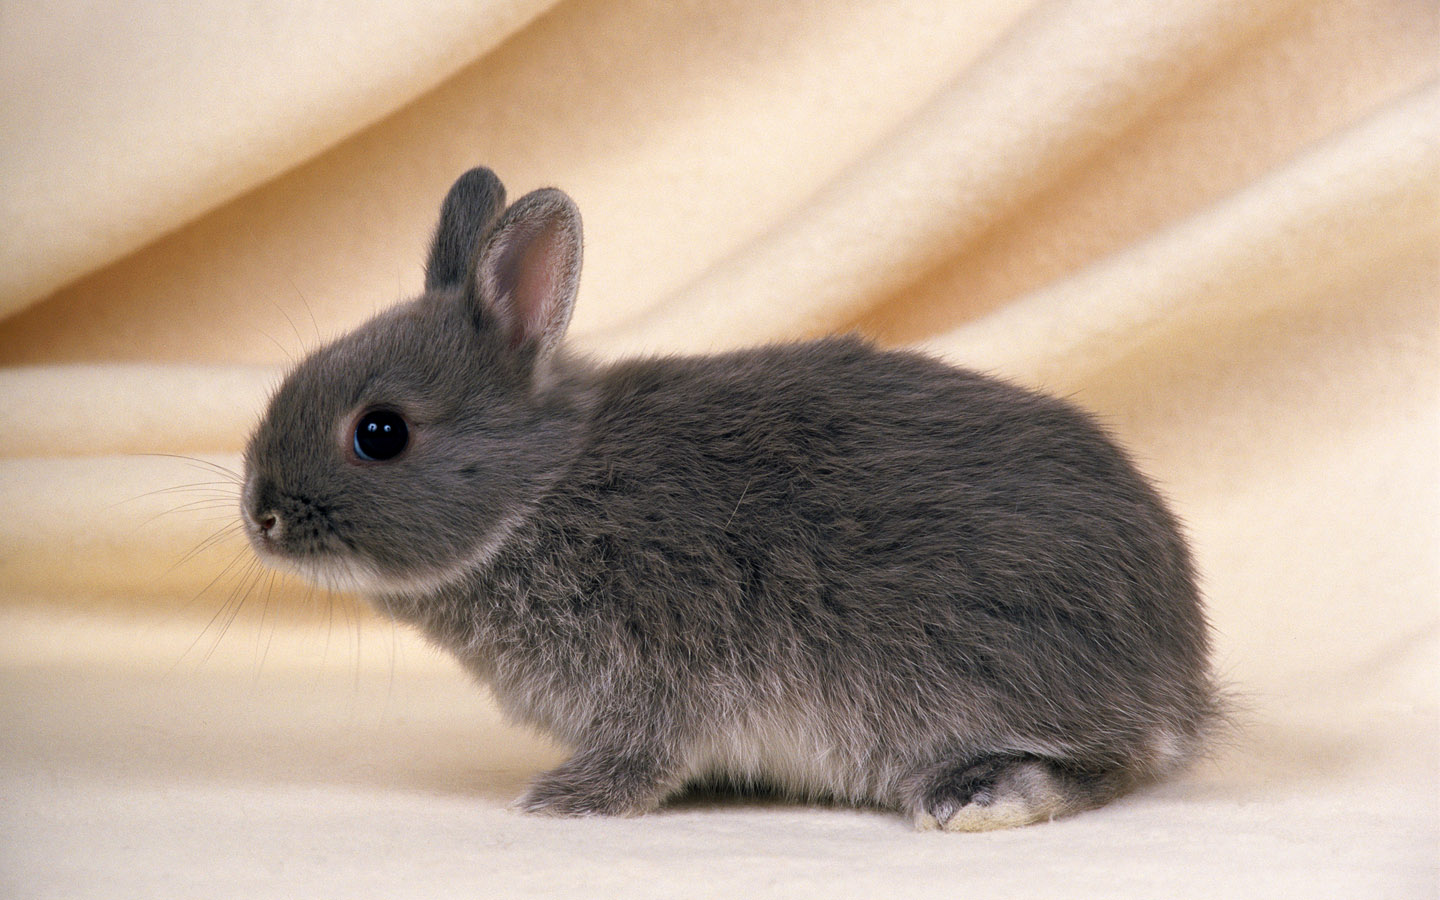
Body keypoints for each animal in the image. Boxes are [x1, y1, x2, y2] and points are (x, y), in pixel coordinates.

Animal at [241, 166, 1220, 831]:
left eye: (380, 433)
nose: (261, 516)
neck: (540, 492)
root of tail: (1182, 678)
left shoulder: (654, 675)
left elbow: (644, 753)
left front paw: (562, 801)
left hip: (968, 672)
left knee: (1116, 762)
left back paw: (979, 793)